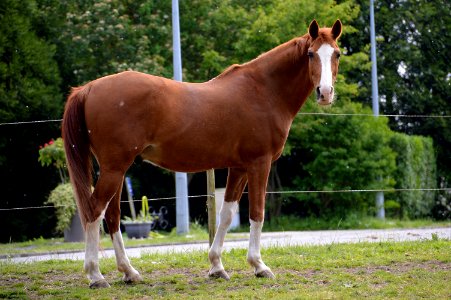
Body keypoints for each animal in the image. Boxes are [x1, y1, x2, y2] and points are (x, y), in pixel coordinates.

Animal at [62, 19, 342, 288]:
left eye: (337, 54)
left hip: (117, 170)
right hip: (114, 168)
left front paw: (217, 266)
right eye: (310, 54)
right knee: (94, 211)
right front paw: (259, 266)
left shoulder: (238, 168)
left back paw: (129, 272)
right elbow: (257, 213)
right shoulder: (258, 164)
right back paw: (96, 275)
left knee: (112, 216)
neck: (263, 91)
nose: (325, 93)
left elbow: (226, 215)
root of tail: (89, 88)